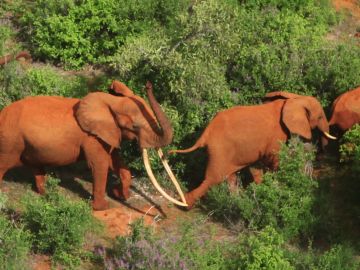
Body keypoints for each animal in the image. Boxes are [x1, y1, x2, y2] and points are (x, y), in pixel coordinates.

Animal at [0, 80, 186, 211]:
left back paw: (46, 193)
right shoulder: (91, 137)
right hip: (10, 141)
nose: (148, 84)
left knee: (36, 166)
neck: (111, 102)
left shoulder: (109, 133)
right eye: (135, 127)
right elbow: (100, 164)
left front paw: (120, 195)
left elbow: (115, 160)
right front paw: (102, 207)